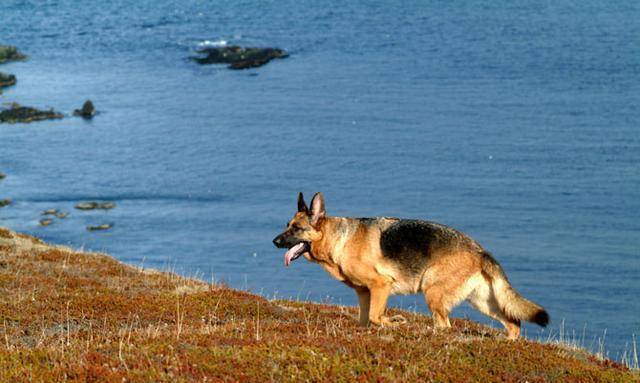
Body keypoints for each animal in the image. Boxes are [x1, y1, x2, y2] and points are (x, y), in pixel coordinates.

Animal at [272, 192, 548, 340]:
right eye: (287, 225)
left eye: (296, 229)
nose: (274, 242)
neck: (339, 238)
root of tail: (479, 250)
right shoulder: (364, 293)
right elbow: (365, 320)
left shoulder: (381, 285)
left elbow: (376, 317)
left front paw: (395, 323)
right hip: (482, 301)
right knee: (514, 323)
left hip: (432, 291)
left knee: (444, 325)